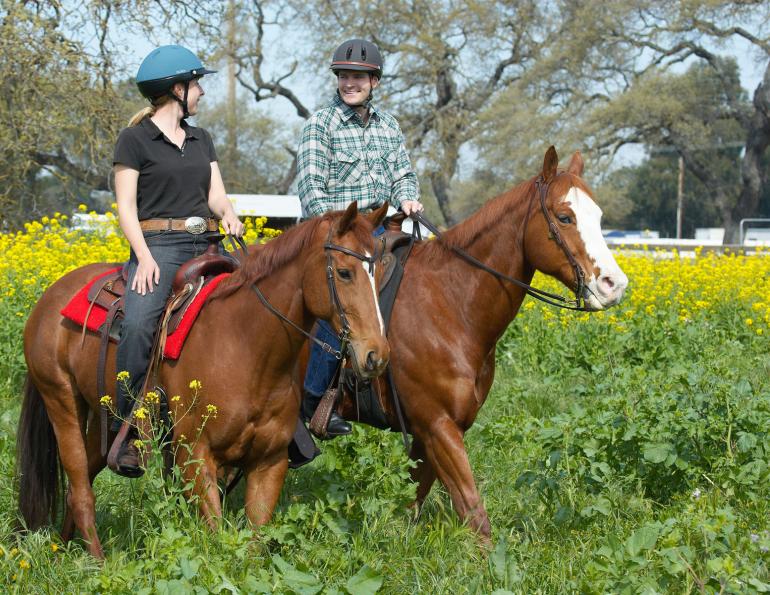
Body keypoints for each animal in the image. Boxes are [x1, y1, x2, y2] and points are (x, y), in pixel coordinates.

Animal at [17, 202, 390, 559]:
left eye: (381, 273)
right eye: (344, 272)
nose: (377, 355)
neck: (245, 344)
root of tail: (52, 295)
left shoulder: (269, 462)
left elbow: (252, 546)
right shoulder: (194, 457)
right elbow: (217, 537)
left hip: (103, 419)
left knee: (76, 489)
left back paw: (63, 550)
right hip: (62, 402)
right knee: (81, 491)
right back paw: (97, 563)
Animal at [303, 147, 629, 542]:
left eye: (598, 216)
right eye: (565, 217)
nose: (614, 284)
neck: (450, 304)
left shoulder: (434, 431)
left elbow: (413, 499)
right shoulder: (439, 426)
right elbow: (473, 511)